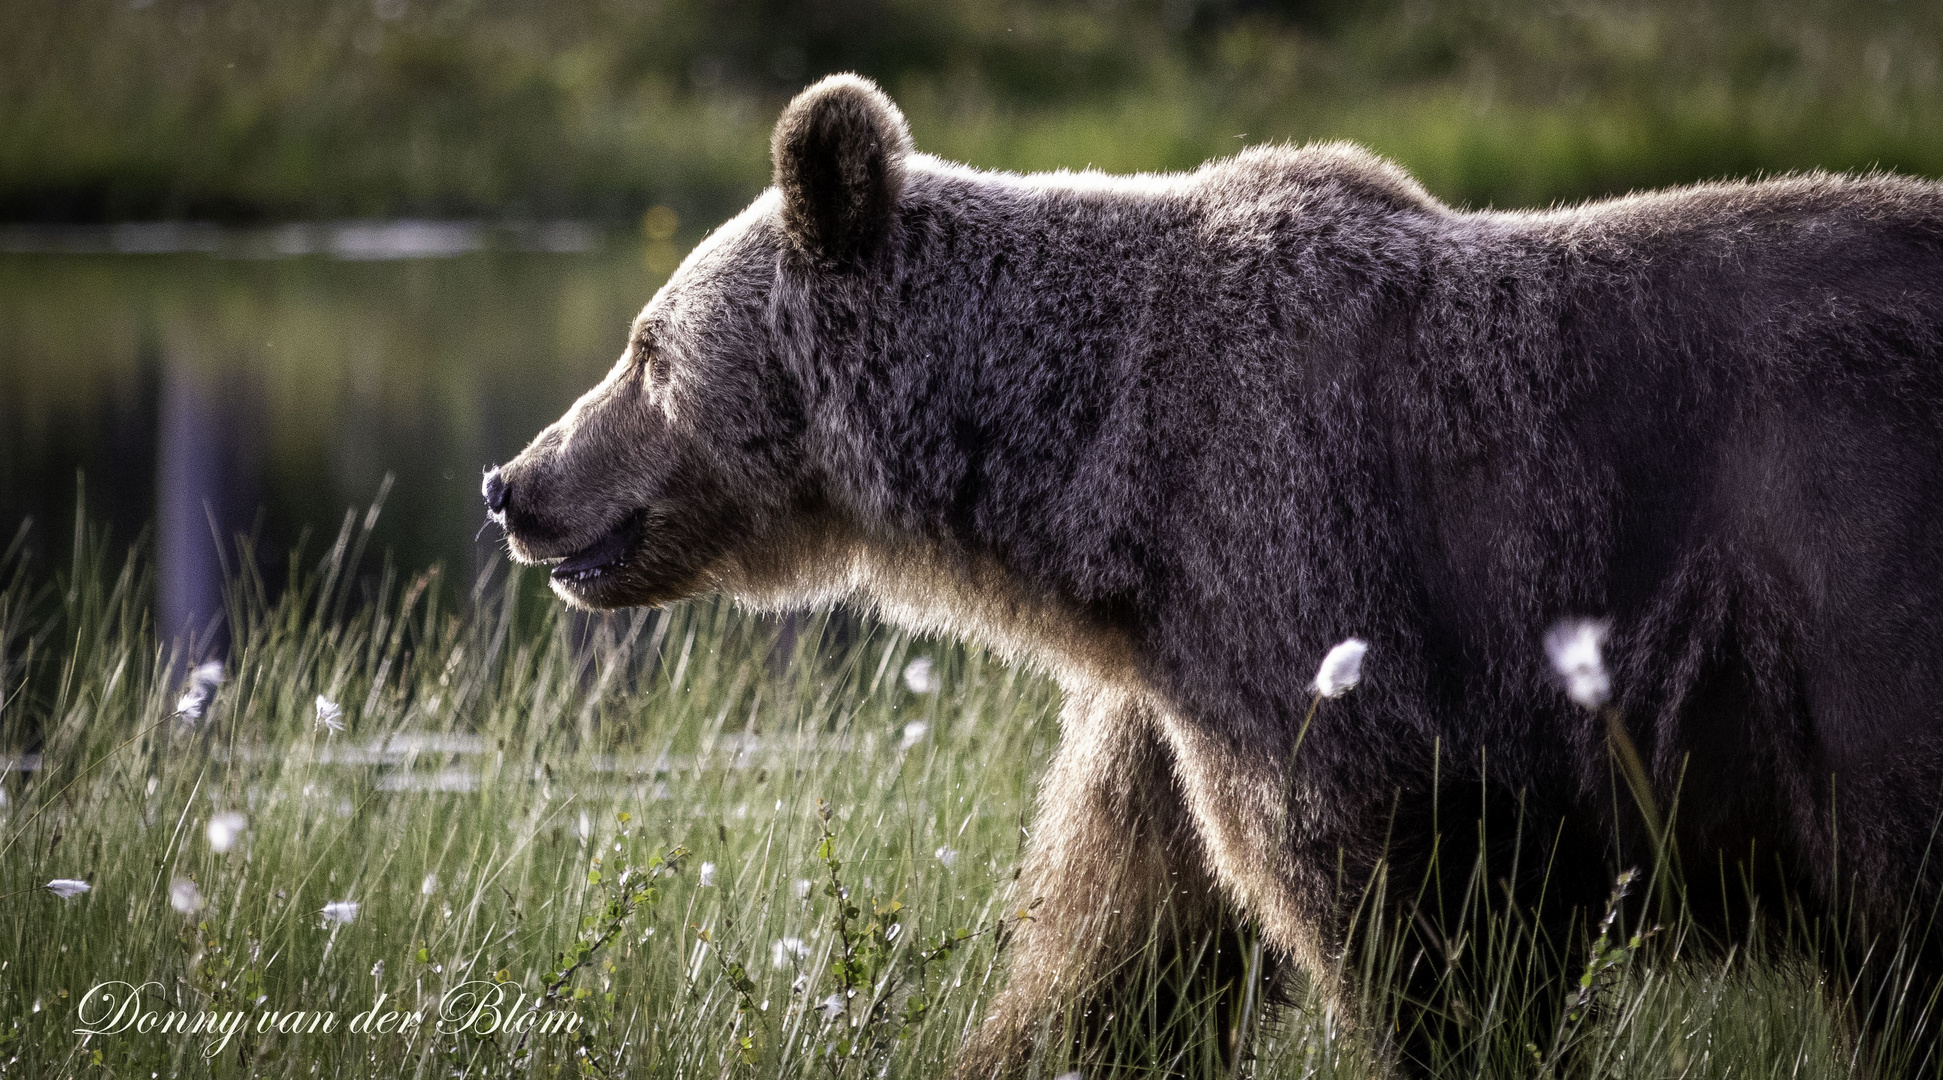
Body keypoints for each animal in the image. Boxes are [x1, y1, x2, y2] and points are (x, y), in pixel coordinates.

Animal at [489, 73, 1943, 1072]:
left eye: (643, 349)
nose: (514, 484)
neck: (1091, 491)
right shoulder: (1171, 692)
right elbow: (1115, 952)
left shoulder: (1310, 592)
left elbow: (1423, 945)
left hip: (1848, 610)